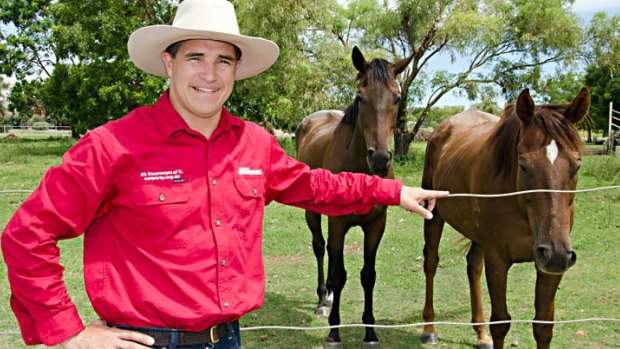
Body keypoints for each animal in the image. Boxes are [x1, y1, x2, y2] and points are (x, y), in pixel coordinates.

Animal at [294, 47, 412, 348]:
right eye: (360, 96)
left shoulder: (376, 225)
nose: (380, 159)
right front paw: (334, 332)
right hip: (313, 213)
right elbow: (339, 273)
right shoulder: (338, 223)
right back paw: (323, 299)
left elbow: (368, 276)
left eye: (397, 98)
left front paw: (370, 332)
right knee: (320, 248)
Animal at [422, 87, 592, 348]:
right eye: (523, 165)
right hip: (433, 215)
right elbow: (501, 323)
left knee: (473, 266)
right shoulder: (498, 260)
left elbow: (543, 327)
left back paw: (480, 333)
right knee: (431, 263)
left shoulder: (551, 269)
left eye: (577, 165)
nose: (555, 253)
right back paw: (429, 329)